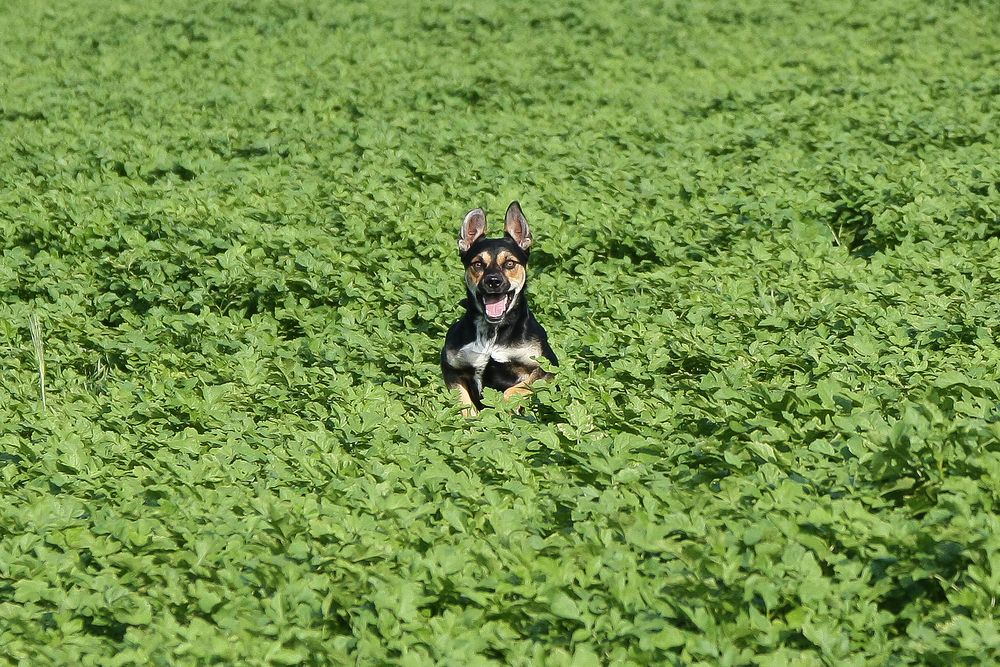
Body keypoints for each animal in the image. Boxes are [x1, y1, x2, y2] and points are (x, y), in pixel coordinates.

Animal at [442, 201, 560, 414]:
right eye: (478, 264)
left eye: (510, 263)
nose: (493, 281)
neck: (493, 331)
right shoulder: (452, 367)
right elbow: (463, 402)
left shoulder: (546, 368)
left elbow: (515, 390)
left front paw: (504, 407)